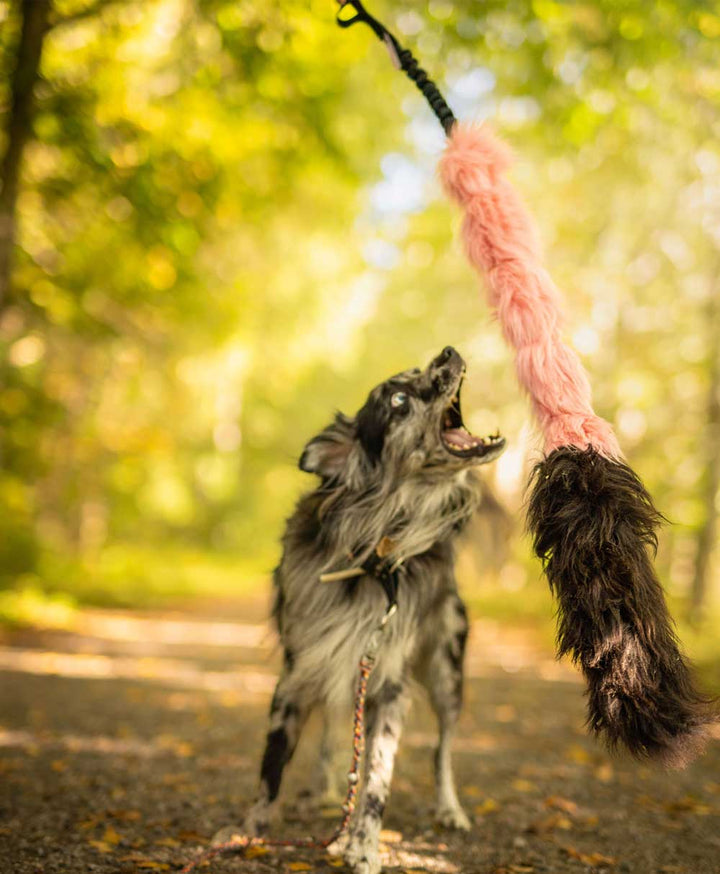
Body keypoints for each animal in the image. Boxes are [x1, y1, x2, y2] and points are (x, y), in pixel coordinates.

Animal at [217, 348, 504, 872]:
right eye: (397, 399)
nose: (449, 352)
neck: (374, 550)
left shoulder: (388, 685)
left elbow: (376, 776)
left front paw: (365, 845)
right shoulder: (300, 672)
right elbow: (272, 767)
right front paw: (249, 831)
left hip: (446, 672)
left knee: (442, 750)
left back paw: (447, 809)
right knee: (334, 732)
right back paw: (321, 794)